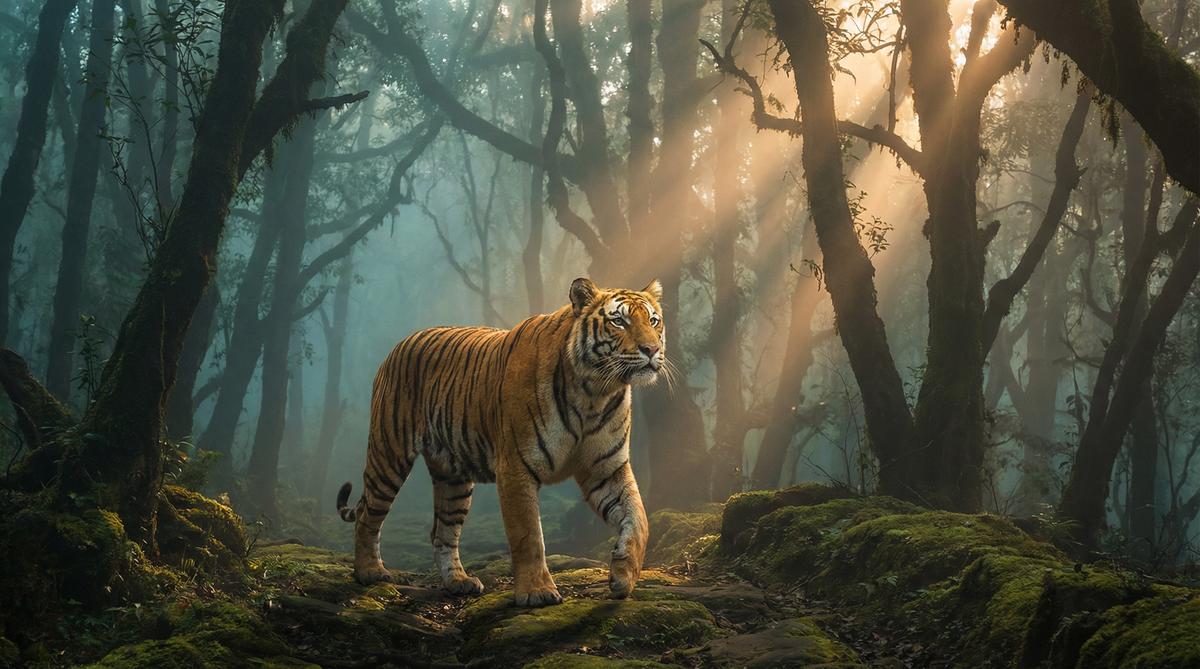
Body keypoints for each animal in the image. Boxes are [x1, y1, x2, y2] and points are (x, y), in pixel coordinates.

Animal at [336, 277, 665, 607]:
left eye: (653, 321)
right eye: (619, 321)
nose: (651, 349)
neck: (595, 392)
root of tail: (402, 342)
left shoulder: (606, 468)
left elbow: (639, 518)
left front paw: (623, 574)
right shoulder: (516, 468)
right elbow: (529, 534)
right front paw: (537, 591)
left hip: (454, 478)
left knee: (442, 533)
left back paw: (459, 581)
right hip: (389, 453)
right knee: (368, 515)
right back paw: (370, 572)